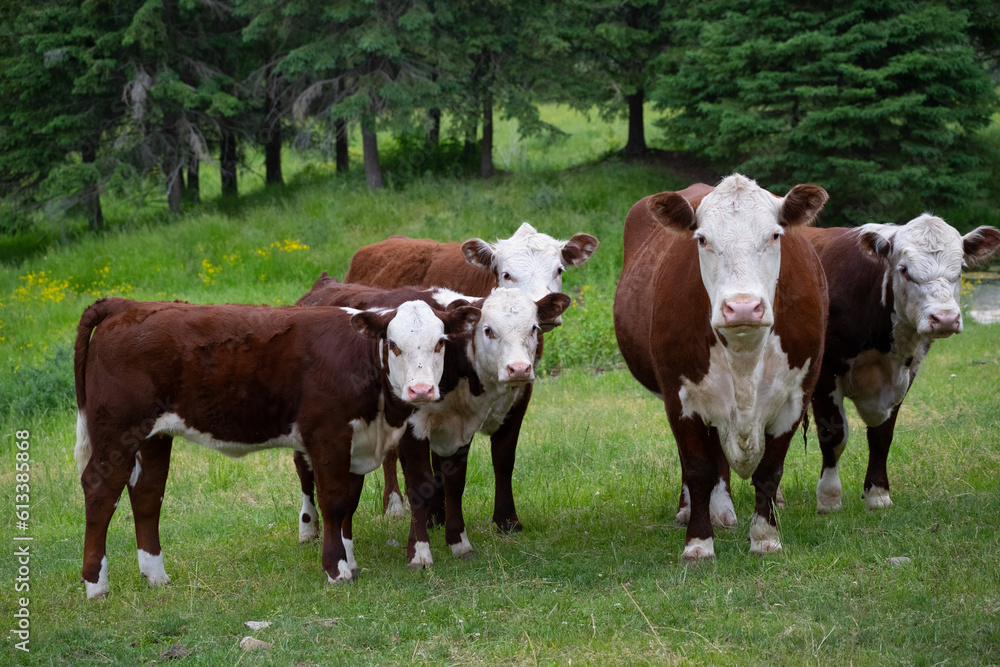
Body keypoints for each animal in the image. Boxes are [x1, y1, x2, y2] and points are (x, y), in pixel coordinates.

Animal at [73, 296, 480, 598]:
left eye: (440, 343)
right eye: (394, 345)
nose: (421, 390)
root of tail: (125, 304)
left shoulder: (357, 440)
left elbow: (349, 502)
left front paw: (351, 561)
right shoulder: (328, 436)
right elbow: (333, 503)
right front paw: (336, 569)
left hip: (154, 436)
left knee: (147, 494)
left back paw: (155, 575)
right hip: (117, 431)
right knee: (100, 490)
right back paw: (96, 585)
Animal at [293, 276, 571, 567]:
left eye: (534, 328)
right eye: (488, 330)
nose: (518, 369)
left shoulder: (464, 428)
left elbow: (465, 478)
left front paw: (465, 538)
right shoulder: (412, 430)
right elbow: (419, 486)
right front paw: (419, 551)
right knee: (304, 469)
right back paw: (308, 527)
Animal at [342, 222, 599, 531]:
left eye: (559, 269)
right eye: (506, 273)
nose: (543, 308)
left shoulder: (520, 394)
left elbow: (503, 458)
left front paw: (507, 520)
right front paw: (436, 516)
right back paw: (393, 504)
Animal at [614, 174, 829, 560]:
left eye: (775, 235)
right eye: (702, 239)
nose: (742, 307)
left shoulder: (795, 396)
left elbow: (770, 469)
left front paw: (766, 537)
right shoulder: (680, 396)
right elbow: (698, 468)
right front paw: (699, 544)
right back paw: (700, 509)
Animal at [801, 216, 1000, 513]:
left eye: (961, 267)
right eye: (904, 269)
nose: (944, 318)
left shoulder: (905, 375)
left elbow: (882, 436)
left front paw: (877, 493)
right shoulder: (826, 373)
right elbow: (833, 434)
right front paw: (829, 498)